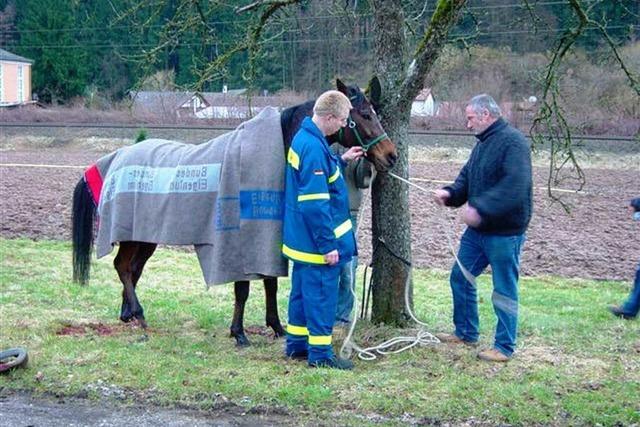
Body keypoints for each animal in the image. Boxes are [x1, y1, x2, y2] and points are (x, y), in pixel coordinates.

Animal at [72, 77, 398, 346]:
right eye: (365, 114)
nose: (391, 156)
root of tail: (115, 157)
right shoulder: (242, 242)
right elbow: (243, 288)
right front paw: (239, 333)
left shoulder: (268, 239)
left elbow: (270, 284)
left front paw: (276, 327)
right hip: (133, 235)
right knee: (123, 267)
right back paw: (138, 314)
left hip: (144, 237)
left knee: (131, 268)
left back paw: (128, 313)